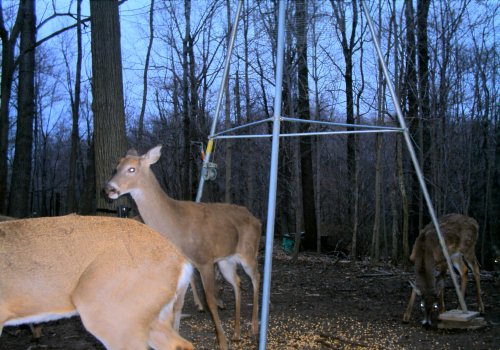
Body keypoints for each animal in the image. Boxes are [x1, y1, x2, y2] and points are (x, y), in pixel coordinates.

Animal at [105, 145, 262, 350]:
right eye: (116, 167)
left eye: (132, 169)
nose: (109, 188)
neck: (175, 226)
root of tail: (256, 219)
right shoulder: (186, 263)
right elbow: (177, 303)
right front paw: (176, 337)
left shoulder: (204, 260)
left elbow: (210, 301)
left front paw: (221, 342)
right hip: (226, 260)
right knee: (237, 281)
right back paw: (236, 333)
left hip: (249, 251)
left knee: (256, 277)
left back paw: (253, 328)